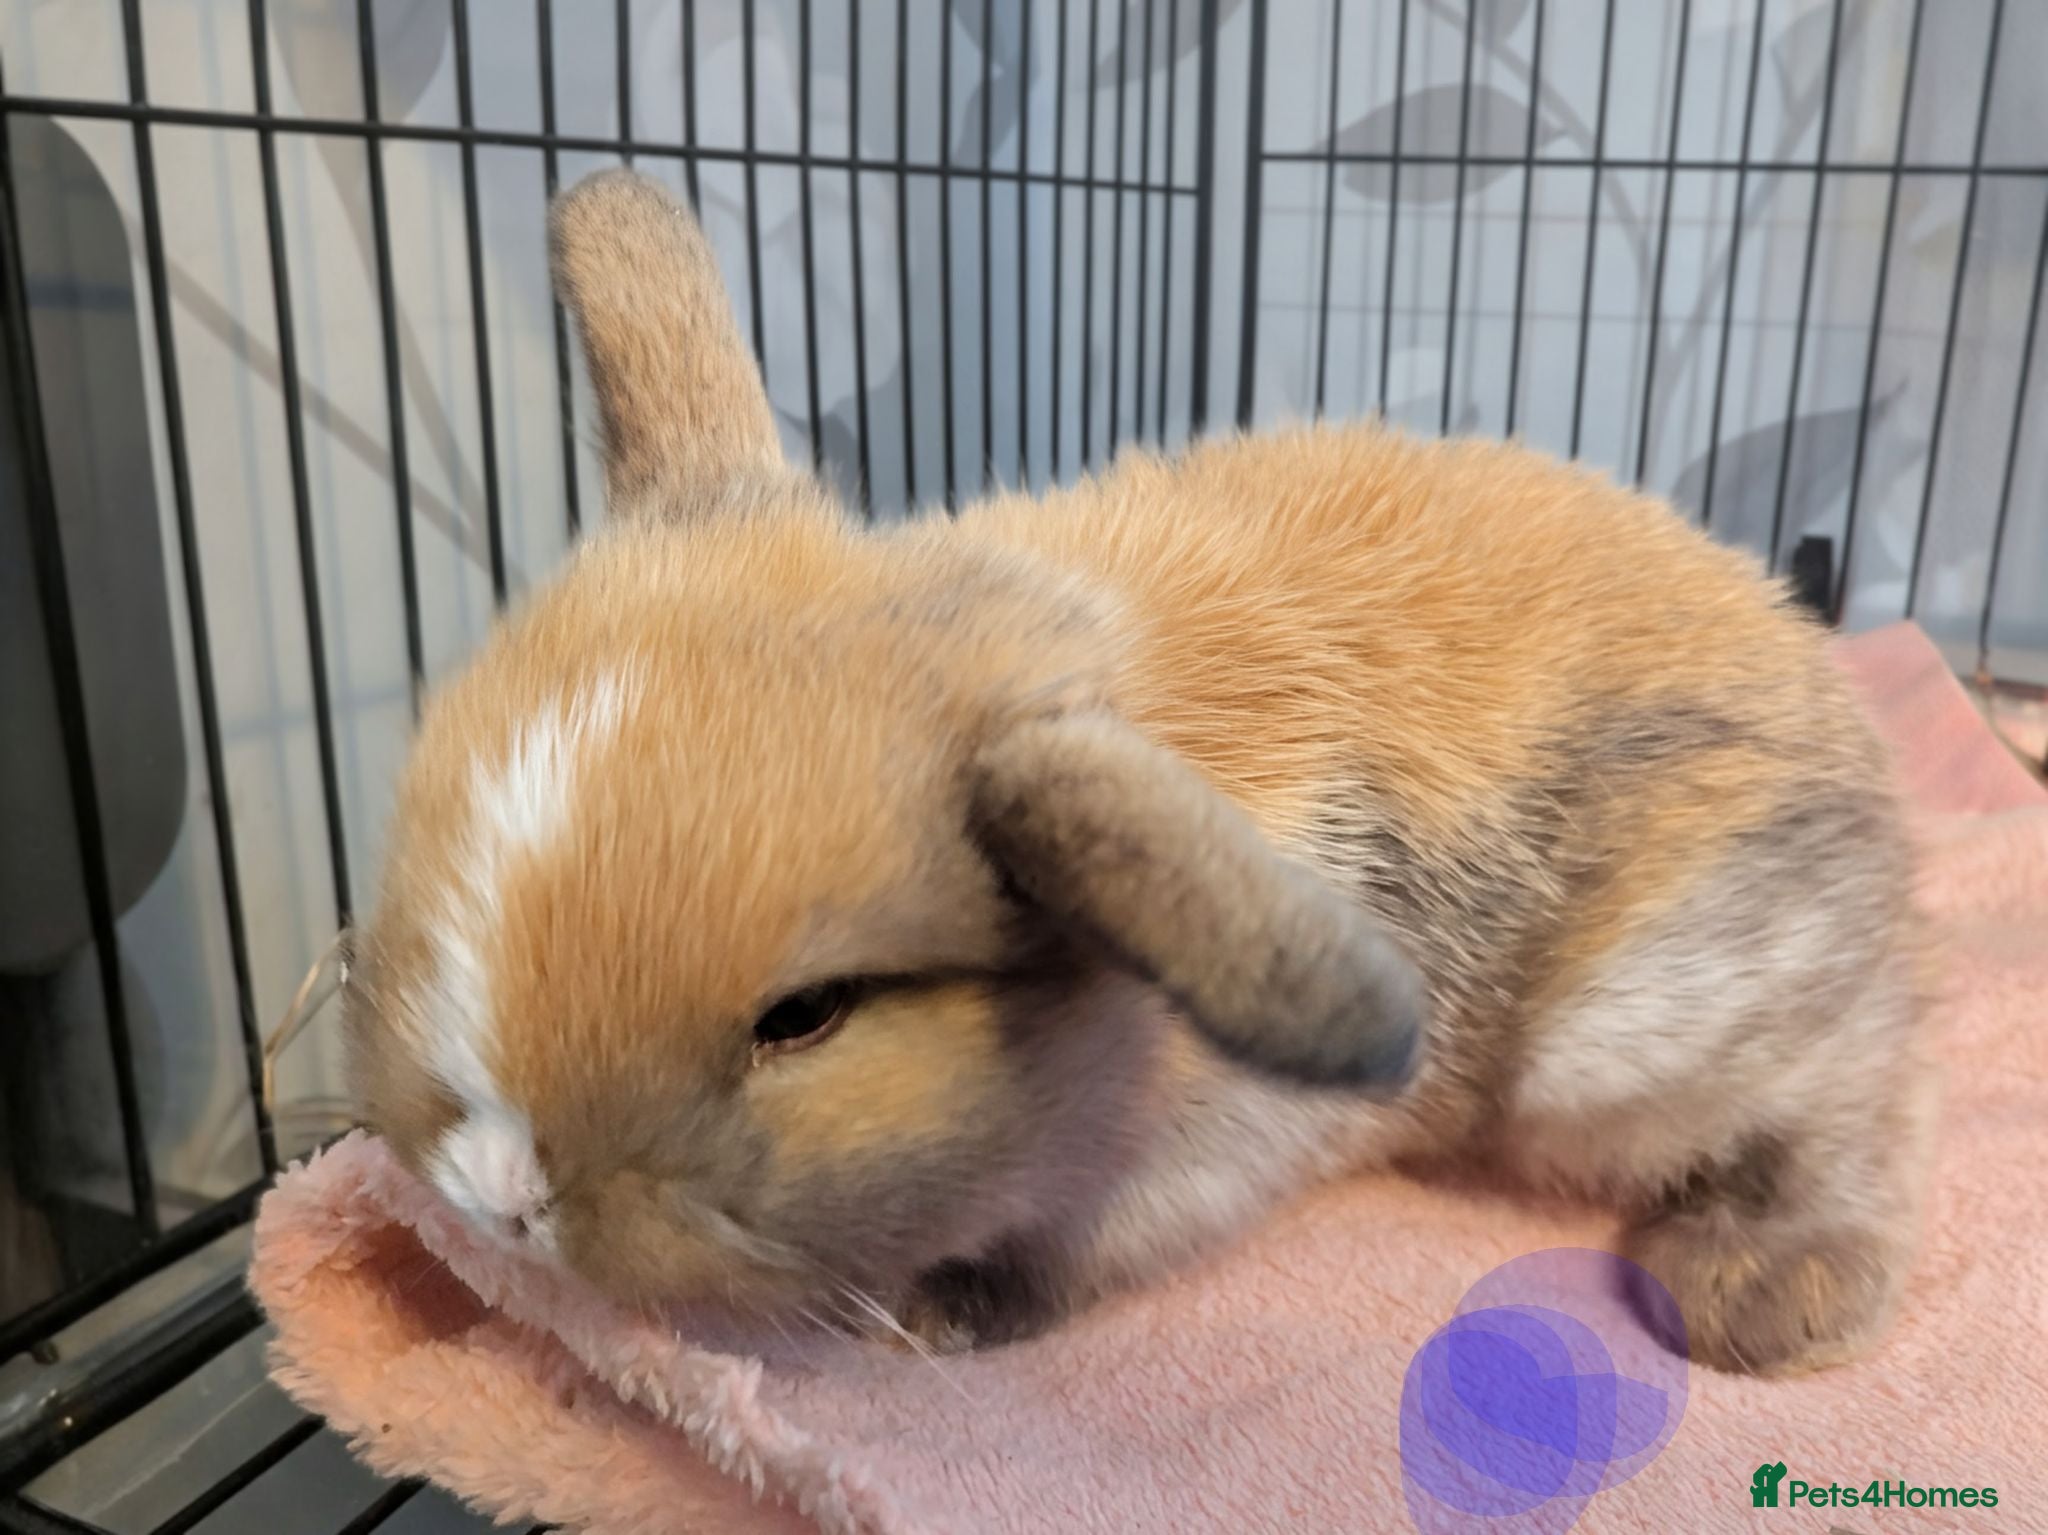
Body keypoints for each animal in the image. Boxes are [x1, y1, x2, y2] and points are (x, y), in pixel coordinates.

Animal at [344, 168, 1932, 1377]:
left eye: (808, 1014)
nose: (504, 1199)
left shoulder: (1223, 1149)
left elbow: (1088, 1242)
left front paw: (938, 1312)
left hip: (1643, 1021)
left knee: (1844, 1094)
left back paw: (1759, 1288)